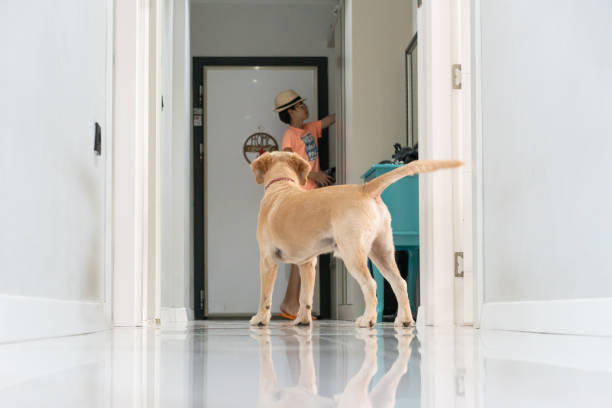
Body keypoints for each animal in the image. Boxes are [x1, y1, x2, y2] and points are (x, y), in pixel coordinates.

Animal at [249, 151, 460, 326]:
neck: (281, 185)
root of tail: (365, 189)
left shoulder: (266, 259)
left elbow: (265, 295)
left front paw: (260, 319)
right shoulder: (307, 263)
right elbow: (305, 297)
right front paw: (303, 320)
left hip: (352, 254)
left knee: (371, 284)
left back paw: (368, 319)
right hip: (382, 252)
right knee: (400, 283)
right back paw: (405, 320)